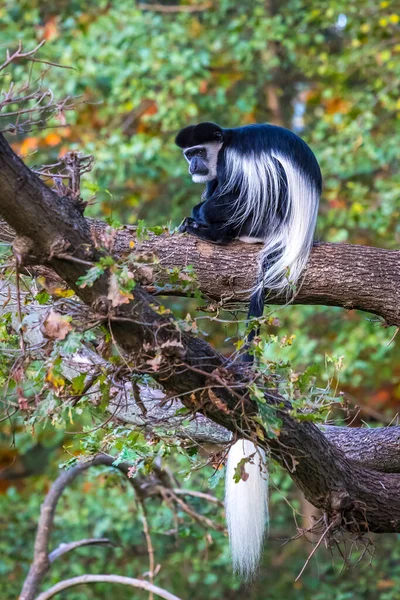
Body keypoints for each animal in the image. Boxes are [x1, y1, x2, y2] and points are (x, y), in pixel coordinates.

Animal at [175, 120, 322, 576]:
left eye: (197, 151)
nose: (194, 166)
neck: (225, 144)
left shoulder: (238, 162)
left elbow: (228, 193)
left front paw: (200, 217)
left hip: (268, 211)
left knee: (239, 199)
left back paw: (210, 228)